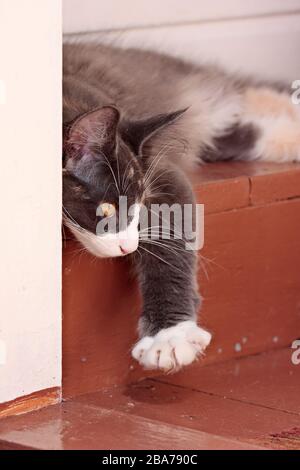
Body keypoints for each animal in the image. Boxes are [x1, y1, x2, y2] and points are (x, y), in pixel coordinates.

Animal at [62, 41, 300, 370]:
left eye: (138, 205)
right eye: (108, 209)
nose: (129, 247)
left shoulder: (164, 173)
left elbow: (169, 250)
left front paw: (169, 337)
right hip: (220, 140)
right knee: (250, 132)